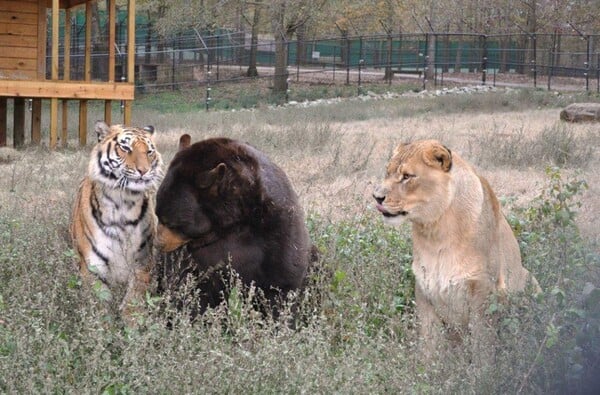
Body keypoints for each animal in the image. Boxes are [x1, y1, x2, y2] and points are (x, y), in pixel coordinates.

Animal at [70, 120, 164, 318]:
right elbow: (100, 308)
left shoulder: (142, 263)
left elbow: (133, 302)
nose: (143, 171)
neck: (124, 202)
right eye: (126, 148)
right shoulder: (93, 268)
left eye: (149, 152)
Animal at [154, 136, 314, 318]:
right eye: (157, 215)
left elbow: (283, 279)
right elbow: (185, 281)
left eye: (171, 222)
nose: (158, 244)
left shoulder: (277, 225)